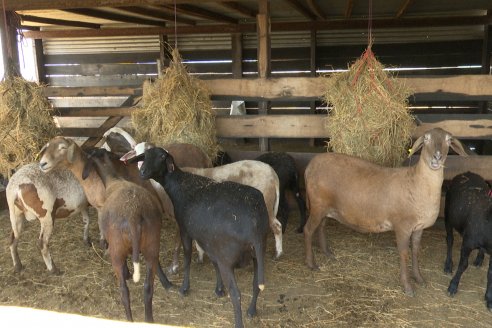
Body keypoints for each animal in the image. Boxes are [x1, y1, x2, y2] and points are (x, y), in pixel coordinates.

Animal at [87, 151, 172, 322]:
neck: (113, 179)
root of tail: (134, 214)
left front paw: (127, 273)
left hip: (117, 251)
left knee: (124, 291)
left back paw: (129, 318)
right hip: (152, 245)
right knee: (148, 287)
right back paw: (149, 320)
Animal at [131, 148, 270, 328]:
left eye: (162, 157)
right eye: (145, 156)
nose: (142, 172)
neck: (179, 184)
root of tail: (254, 225)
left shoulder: (185, 230)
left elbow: (187, 258)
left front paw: (184, 288)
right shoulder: (209, 240)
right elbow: (213, 262)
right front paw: (218, 289)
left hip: (228, 258)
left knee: (236, 293)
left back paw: (239, 321)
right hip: (258, 253)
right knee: (256, 285)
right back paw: (252, 311)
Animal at [304, 127, 468, 294]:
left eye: (449, 140)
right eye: (426, 139)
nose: (437, 157)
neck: (417, 182)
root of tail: (310, 165)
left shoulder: (419, 227)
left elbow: (415, 250)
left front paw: (419, 278)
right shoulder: (402, 226)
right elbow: (404, 253)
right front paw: (407, 286)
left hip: (326, 208)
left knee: (321, 227)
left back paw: (327, 252)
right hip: (317, 205)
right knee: (308, 230)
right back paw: (311, 264)